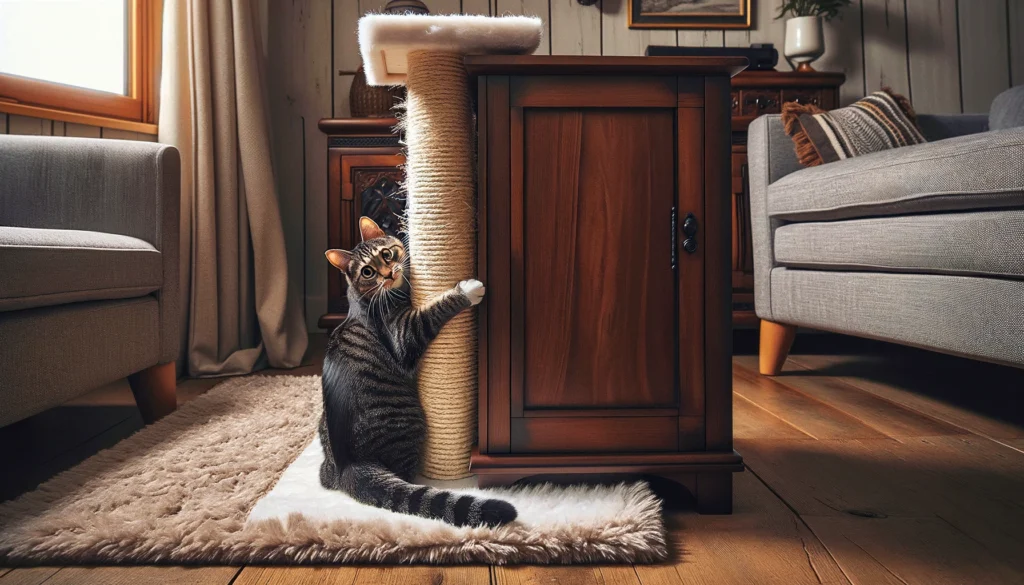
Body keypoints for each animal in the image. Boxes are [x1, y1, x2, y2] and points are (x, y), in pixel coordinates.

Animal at [319, 218, 516, 524]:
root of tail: (347, 466)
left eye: (386, 254)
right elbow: (434, 309)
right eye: (367, 272)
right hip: (408, 421)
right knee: (406, 475)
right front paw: (467, 290)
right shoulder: (404, 334)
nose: (388, 274)